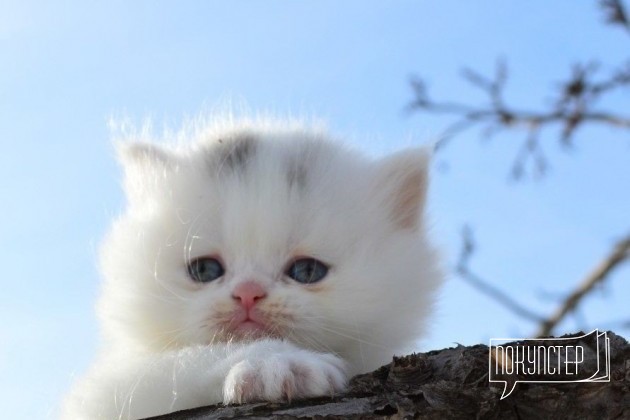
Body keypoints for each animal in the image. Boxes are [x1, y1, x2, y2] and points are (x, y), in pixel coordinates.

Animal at [61, 117, 442, 420]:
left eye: (307, 272)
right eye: (204, 270)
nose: (248, 293)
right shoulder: (102, 395)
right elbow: (179, 361)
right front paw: (275, 363)